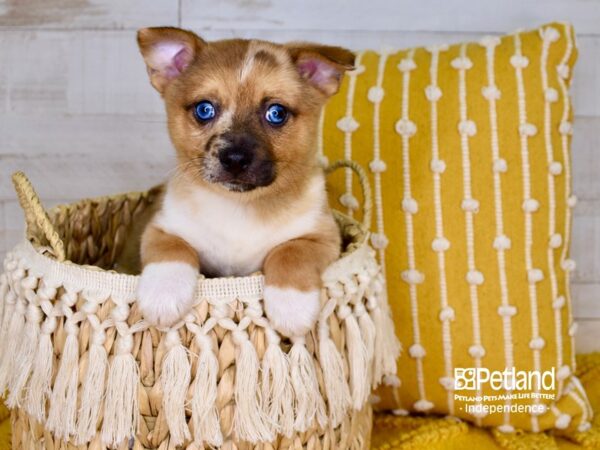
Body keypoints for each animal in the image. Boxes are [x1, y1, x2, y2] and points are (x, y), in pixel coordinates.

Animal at [135, 27, 356, 338]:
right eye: (204, 109)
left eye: (276, 113)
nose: (235, 158)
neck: (239, 206)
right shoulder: (163, 227)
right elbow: (172, 250)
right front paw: (163, 295)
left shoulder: (322, 236)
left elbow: (290, 251)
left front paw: (291, 305)